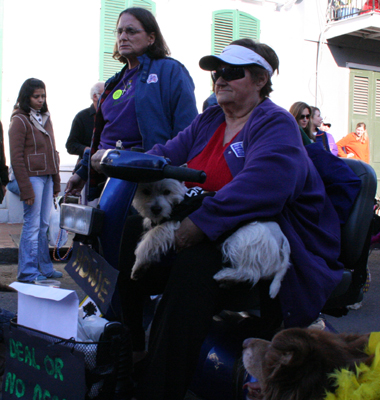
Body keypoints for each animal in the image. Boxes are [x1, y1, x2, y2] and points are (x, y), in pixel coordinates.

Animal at [131, 179, 290, 296]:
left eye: (166, 192)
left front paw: (137, 265)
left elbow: (147, 244)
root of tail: (283, 241)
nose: (156, 209)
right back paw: (227, 281)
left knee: (250, 273)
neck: (178, 201)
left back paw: (223, 275)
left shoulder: (169, 227)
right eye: (146, 191)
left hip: (240, 241)